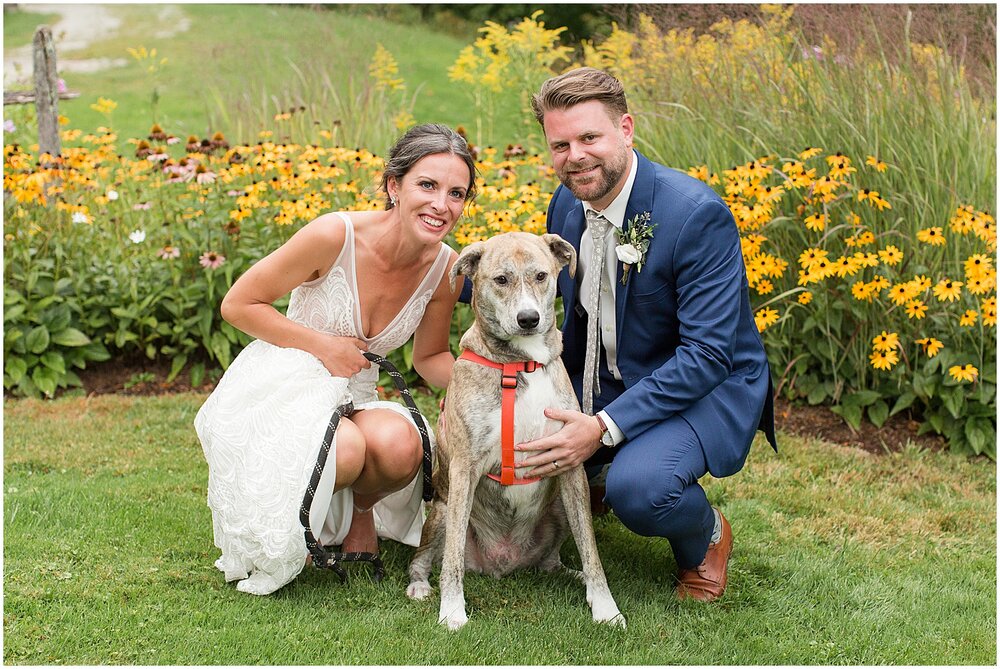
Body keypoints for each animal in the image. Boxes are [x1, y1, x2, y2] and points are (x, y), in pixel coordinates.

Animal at [406, 232, 624, 628]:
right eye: (501, 280)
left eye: (541, 276)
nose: (528, 319)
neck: (523, 363)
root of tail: (503, 564)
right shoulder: (464, 468)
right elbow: (453, 557)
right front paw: (452, 611)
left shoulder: (571, 465)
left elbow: (591, 549)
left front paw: (605, 606)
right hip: (442, 511)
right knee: (426, 557)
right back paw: (419, 586)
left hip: (558, 509)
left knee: (553, 561)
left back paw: (572, 575)